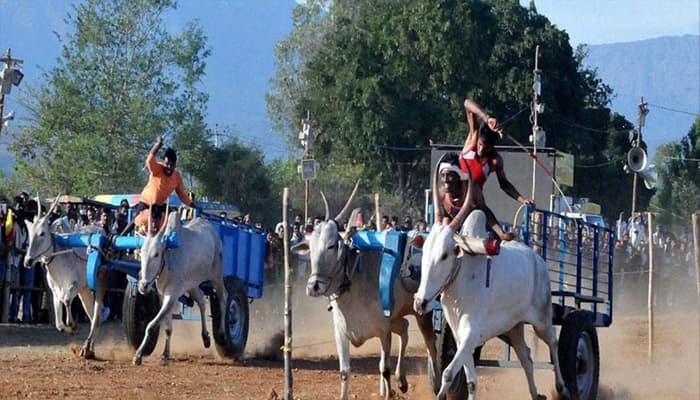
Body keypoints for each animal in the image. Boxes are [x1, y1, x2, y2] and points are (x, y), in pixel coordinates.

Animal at [24, 198, 108, 358]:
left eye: (42, 233)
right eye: (29, 234)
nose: (27, 261)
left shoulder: (75, 285)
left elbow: (67, 300)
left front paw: (73, 325)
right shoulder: (55, 291)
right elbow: (58, 324)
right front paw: (69, 328)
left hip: (98, 284)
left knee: (97, 316)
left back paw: (88, 346)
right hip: (85, 291)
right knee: (94, 316)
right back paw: (89, 348)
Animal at [133, 212, 226, 366]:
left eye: (156, 254)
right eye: (141, 252)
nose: (143, 285)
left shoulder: (172, 295)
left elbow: (151, 326)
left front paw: (138, 355)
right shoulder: (163, 295)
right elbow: (168, 328)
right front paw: (165, 354)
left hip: (217, 277)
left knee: (224, 298)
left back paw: (223, 331)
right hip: (193, 284)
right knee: (201, 301)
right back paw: (205, 338)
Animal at [292, 183, 438, 400]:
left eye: (332, 245)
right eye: (310, 247)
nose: (313, 286)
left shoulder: (384, 331)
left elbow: (384, 368)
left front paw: (388, 392)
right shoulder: (341, 332)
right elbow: (344, 372)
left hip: (422, 314)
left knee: (431, 346)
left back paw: (436, 384)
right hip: (396, 317)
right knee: (404, 329)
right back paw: (401, 380)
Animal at [410, 170, 568, 398]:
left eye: (445, 255)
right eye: (424, 252)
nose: (420, 302)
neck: (461, 278)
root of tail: (537, 258)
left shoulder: (471, 333)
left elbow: (448, 373)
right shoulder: (460, 337)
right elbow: (471, 381)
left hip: (542, 320)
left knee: (554, 343)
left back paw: (562, 386)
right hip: (514, 327)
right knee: (526, 358)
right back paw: (534, 393)